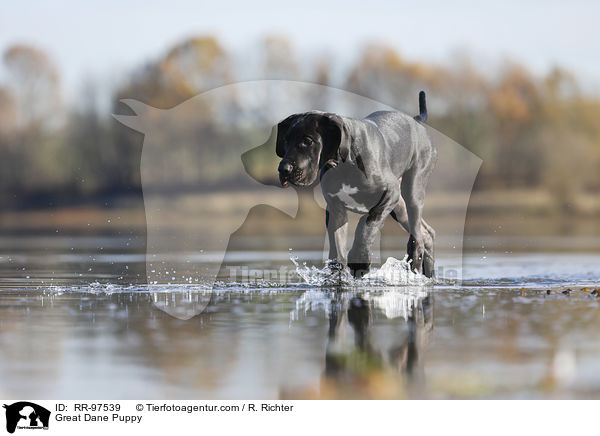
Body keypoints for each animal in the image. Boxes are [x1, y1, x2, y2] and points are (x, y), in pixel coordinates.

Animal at [276, 91, 436, 280]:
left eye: (307, 141)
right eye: (286, 140)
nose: (283, 169)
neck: (343, 164)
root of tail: (416, 120)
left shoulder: (390, 194)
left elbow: (366, 224)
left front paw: (360, 261)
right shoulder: (335, 209)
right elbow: (336, 245)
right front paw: (337, 275)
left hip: (411, 191)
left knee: (416, 236)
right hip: (399, 208)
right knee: (426, 233)